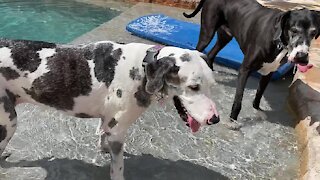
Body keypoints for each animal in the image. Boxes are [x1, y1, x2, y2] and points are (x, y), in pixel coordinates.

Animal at [0, 39, 219, 180]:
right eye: (193, 87)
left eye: (212, 85)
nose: (215, 119)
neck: (142, 67)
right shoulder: (117, 131)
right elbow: (118, 167)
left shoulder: (109, 123)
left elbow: (102, 136)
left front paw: (102, 148)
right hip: (9, 122)